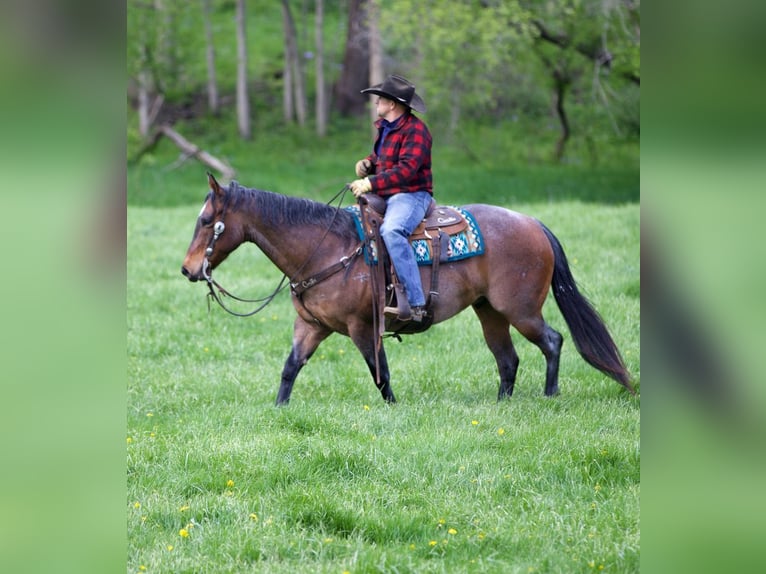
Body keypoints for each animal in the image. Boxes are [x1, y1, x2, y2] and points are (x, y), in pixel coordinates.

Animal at [182, 173, 634, 405]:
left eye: (205, 220)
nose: (188, 269)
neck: (324, 248)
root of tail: (533, 223)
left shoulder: (363, 327)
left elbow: (379, 373)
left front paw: (393, 408)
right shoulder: (311, 326)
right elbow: (291, 368)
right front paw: (280, 409)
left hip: (520, 310)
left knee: (553, 341)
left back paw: (550, 394)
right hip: (489, 311)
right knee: (507, 359)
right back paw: (502, 403)